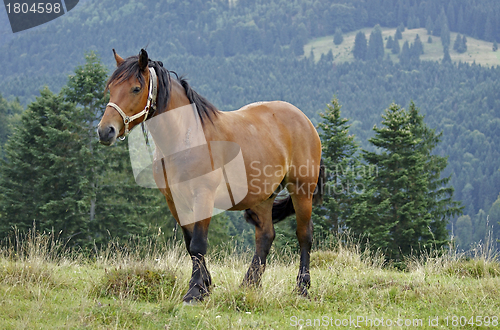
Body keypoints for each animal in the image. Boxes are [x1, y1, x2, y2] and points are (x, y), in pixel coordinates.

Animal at [97, 48, 324, 302]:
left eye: (136, 88)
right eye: (111, 88)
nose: (105, 131)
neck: (186, 138)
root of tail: (305, 121)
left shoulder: (203, 195)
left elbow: (198, 243)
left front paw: (195, 291)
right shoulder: (175, 201)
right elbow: (189, 244)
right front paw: (205, 286)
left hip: (302, 190)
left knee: (304, 235)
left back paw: (302, 288)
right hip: (263, 197)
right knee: (265, 236)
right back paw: (249, 285)